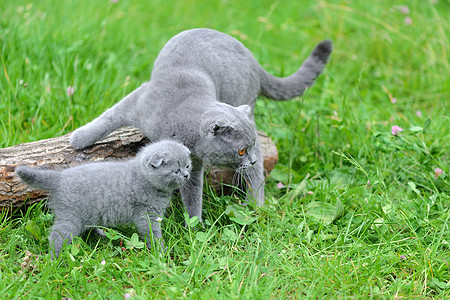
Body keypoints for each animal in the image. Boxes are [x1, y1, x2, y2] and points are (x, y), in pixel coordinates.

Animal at [15, 141, 191, 258]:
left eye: (187, 166)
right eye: (176, 170)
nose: (186, 175)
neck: (144, 178)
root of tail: (60, 178)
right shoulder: (146, 213)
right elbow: (152, 233)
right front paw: (161, 252)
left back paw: (102, 235)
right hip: (71, 217)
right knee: (57, 236)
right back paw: (55, 259)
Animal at [69, 28, 330, 223]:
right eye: (240, 151)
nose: (252, 159)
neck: (179, 111)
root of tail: (254, 60)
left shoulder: (193, 161)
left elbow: (193, 192)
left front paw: (195, 224)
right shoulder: (138, 100)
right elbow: (108, 117)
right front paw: (78, 140)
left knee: (255, 175)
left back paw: (255, 205)